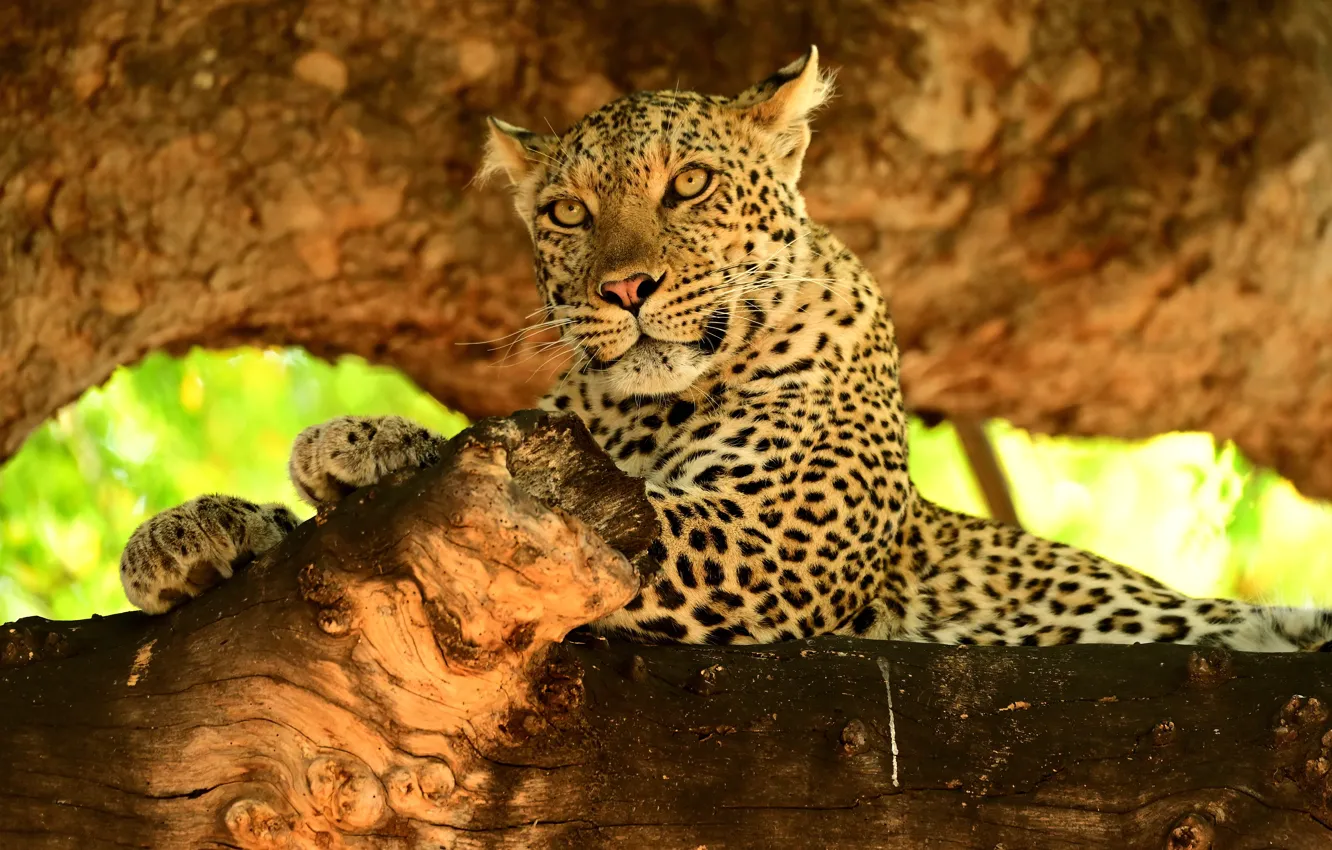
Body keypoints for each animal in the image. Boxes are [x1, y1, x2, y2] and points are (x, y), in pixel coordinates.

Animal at [119, 47, 1332, 653]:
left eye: (689, 184)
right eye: (566, 212)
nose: (626, 287)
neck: (643, 409)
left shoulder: (758, 543)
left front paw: (365, 445)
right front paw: (191, 534)